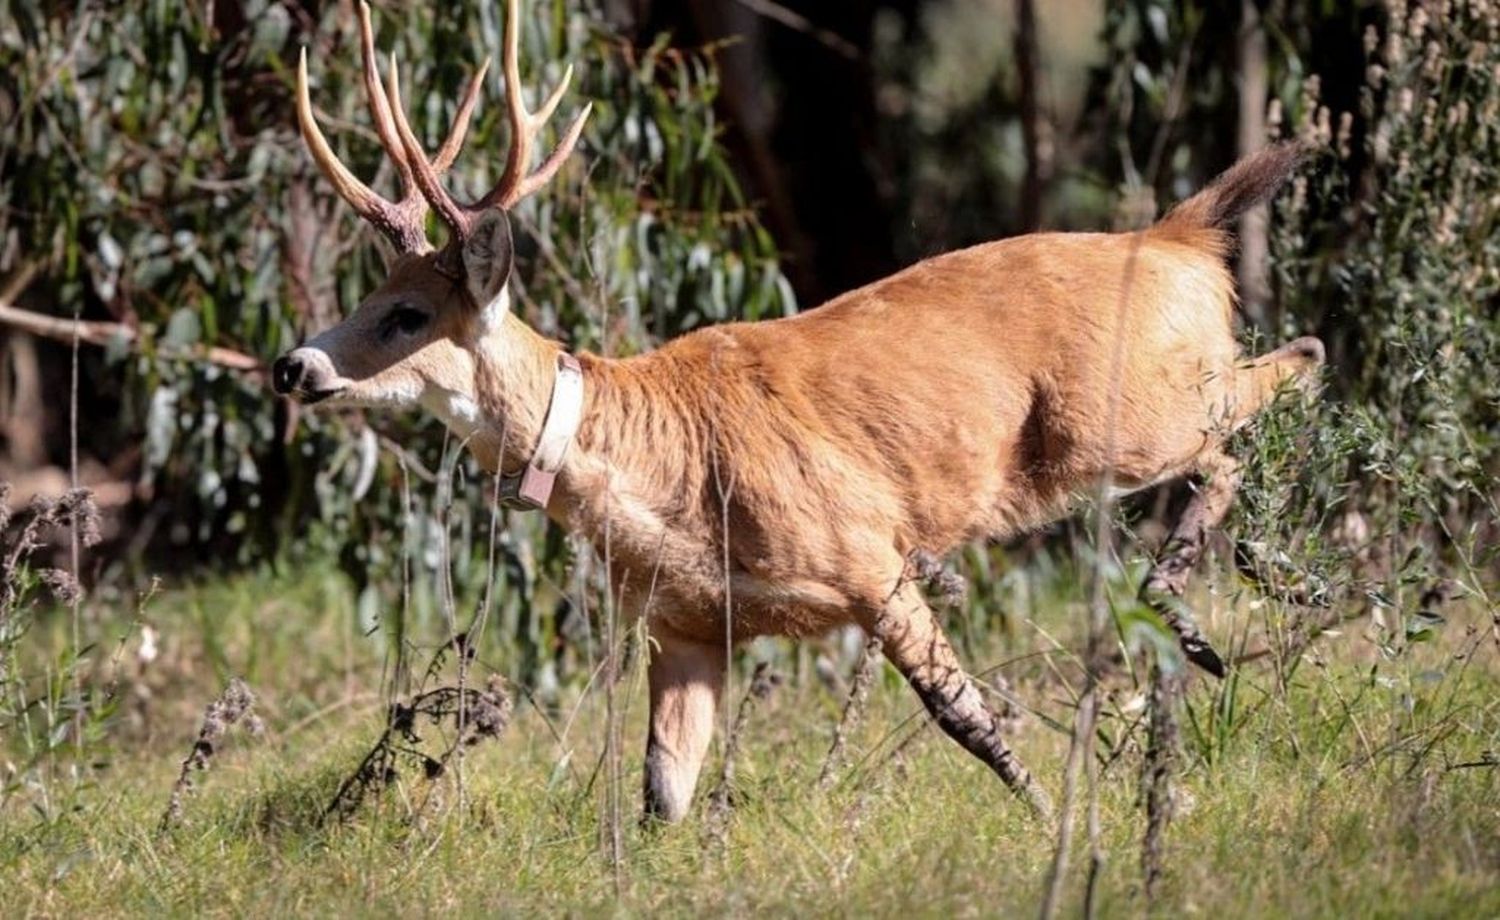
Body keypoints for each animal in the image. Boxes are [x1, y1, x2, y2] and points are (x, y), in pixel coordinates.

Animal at [273, 0, 1326, 816]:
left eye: (406, 314)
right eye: (370, 293)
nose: (292, 365)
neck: (658, 465)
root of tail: (1178, 237)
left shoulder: (869, 552)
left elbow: (966, 713)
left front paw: (1050, 810)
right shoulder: (687, 624)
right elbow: (663, 788)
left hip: (1125, 421)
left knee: (1285, 376)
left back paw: (1210, 612)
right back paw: (1238, 604)